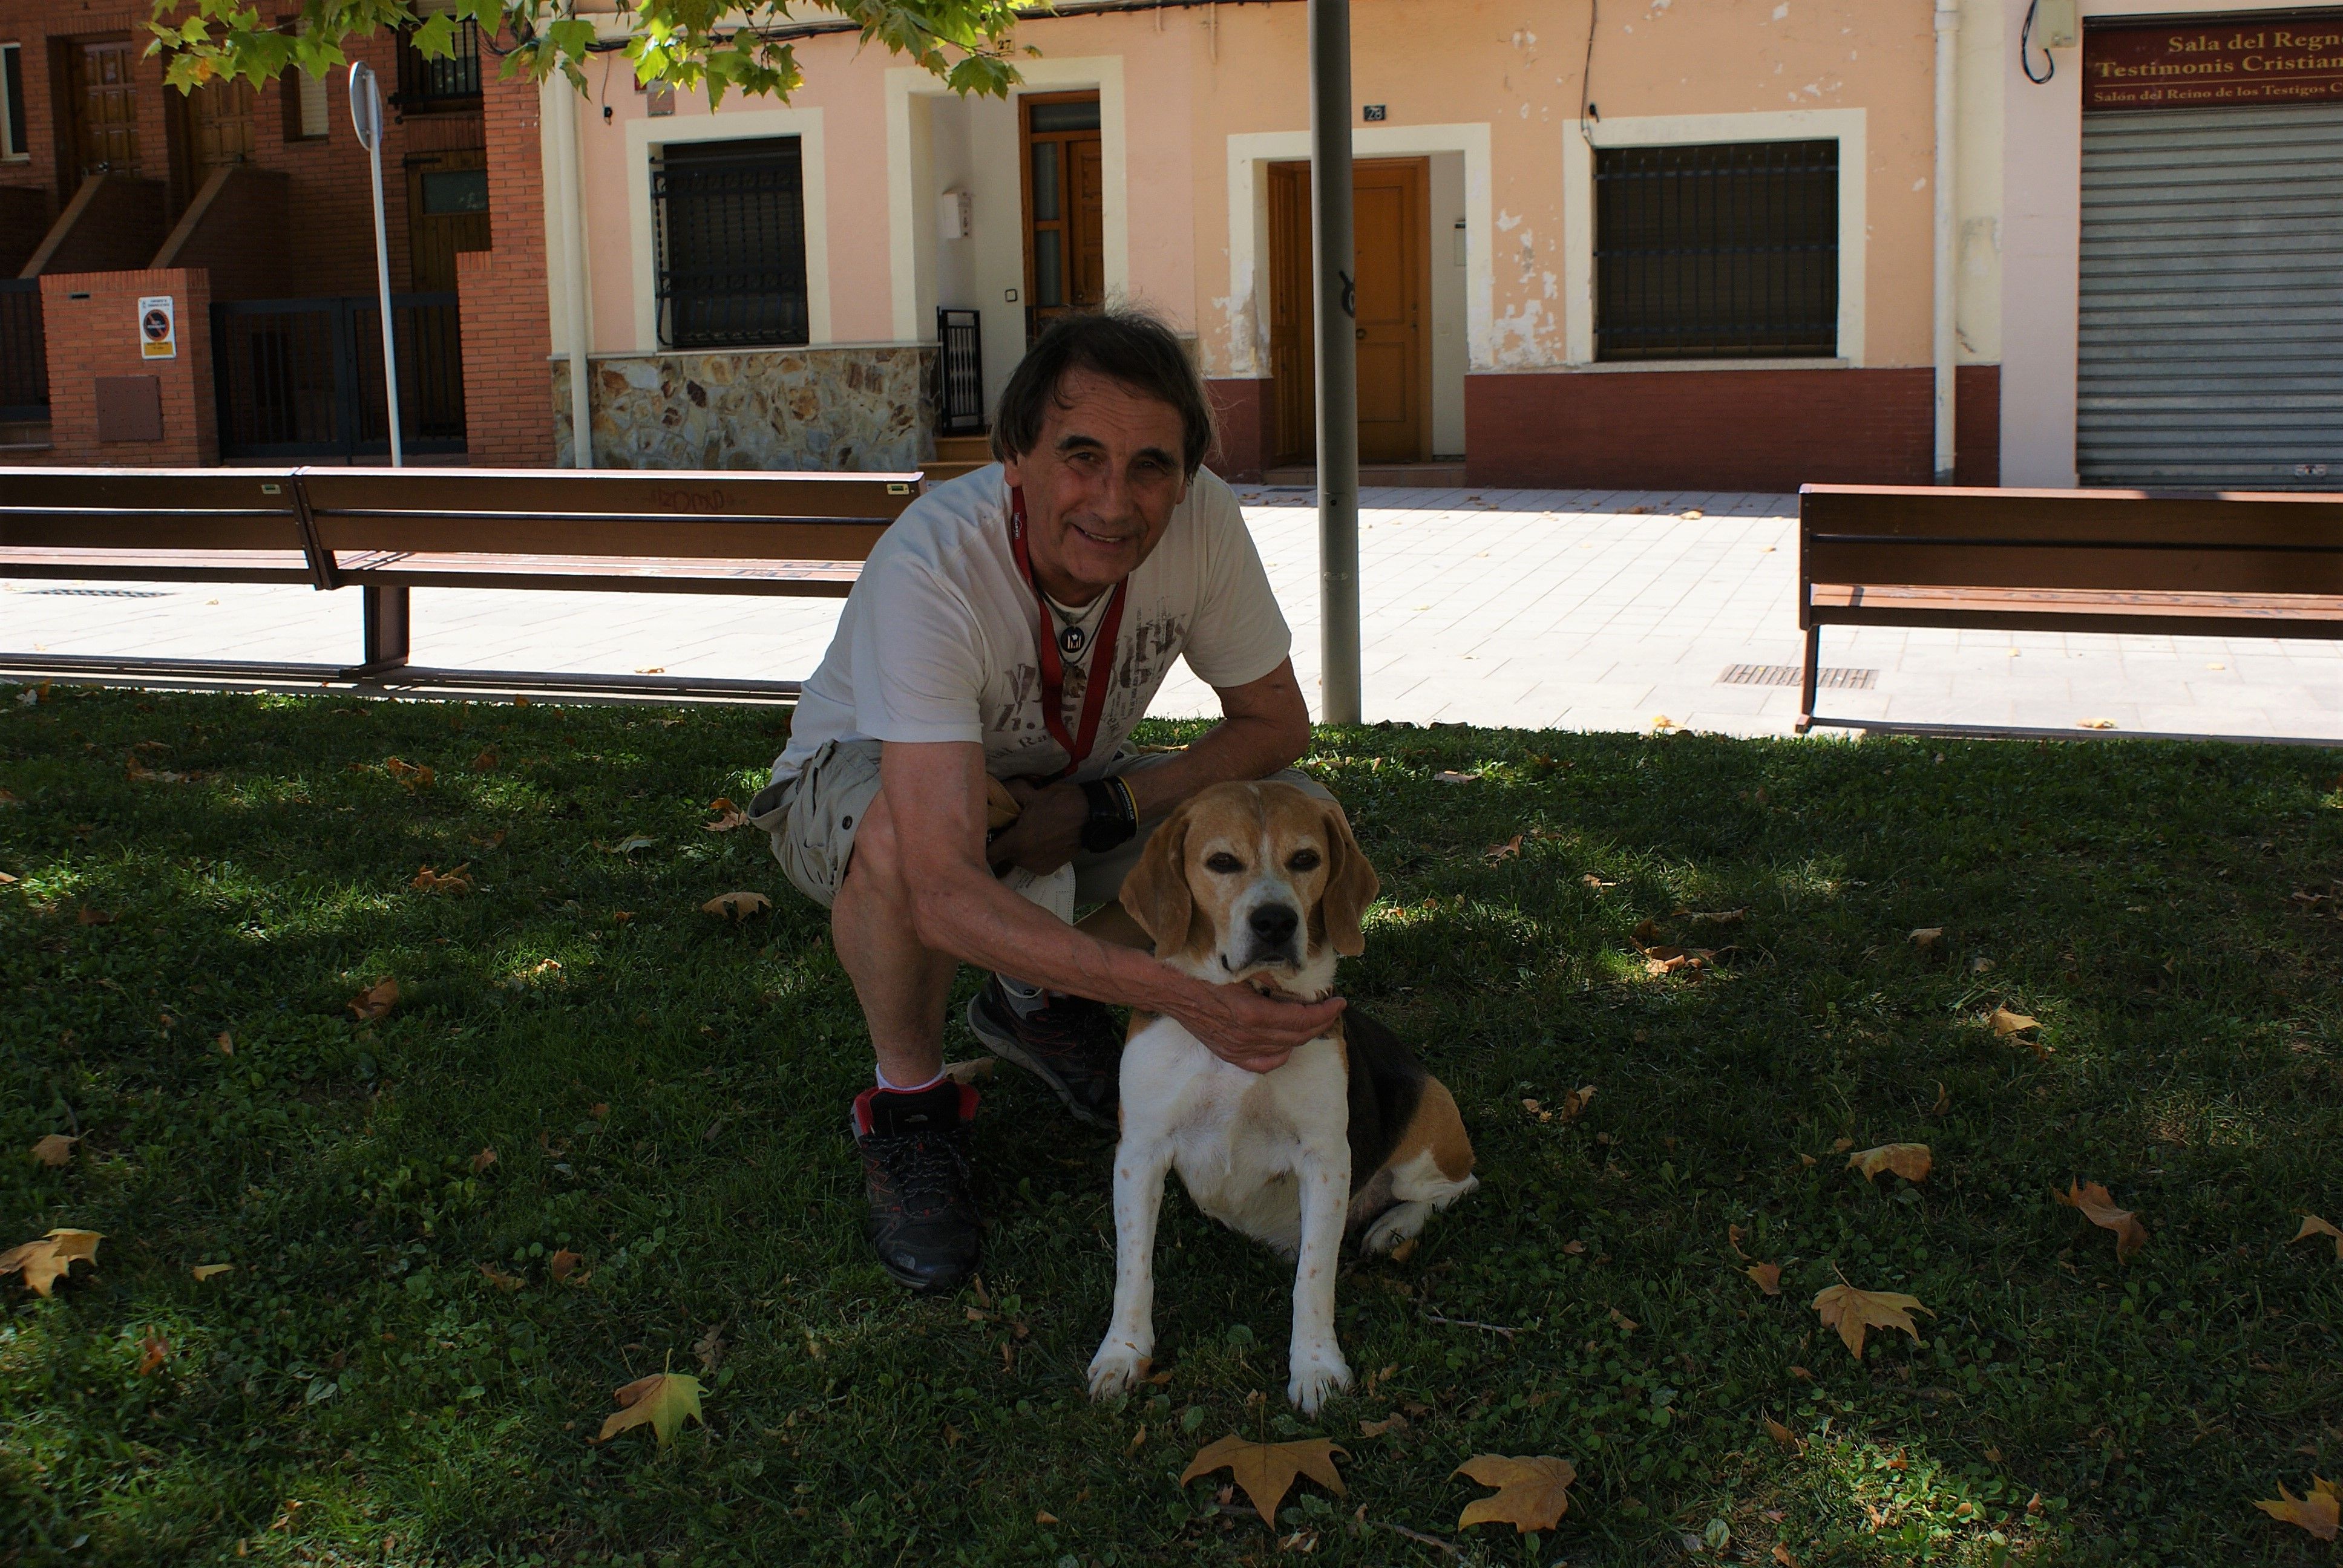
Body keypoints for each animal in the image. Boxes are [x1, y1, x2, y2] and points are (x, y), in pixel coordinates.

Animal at [1087, 778, 1471, 1416]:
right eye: (1222, 862)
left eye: (1305, 860)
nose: (1275, 922)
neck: (1248, 1003)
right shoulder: (1139, 1152)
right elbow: (1133, 1271)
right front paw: (1123, 1354)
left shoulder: (1325, 1157)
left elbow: (1313, 1279)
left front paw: (1316, 1367)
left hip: (1428, 1127)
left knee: (1454, 1188)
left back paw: (1392, 1227)